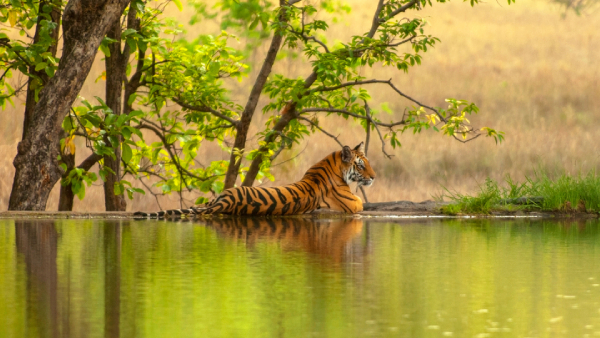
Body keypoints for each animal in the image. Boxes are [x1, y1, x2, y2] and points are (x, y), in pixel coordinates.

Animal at [136, 143, 376, 219]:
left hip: (217, 197)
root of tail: (227, 202)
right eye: (361, 165)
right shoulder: (354, 204)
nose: (374, 177)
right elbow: (361, 203)